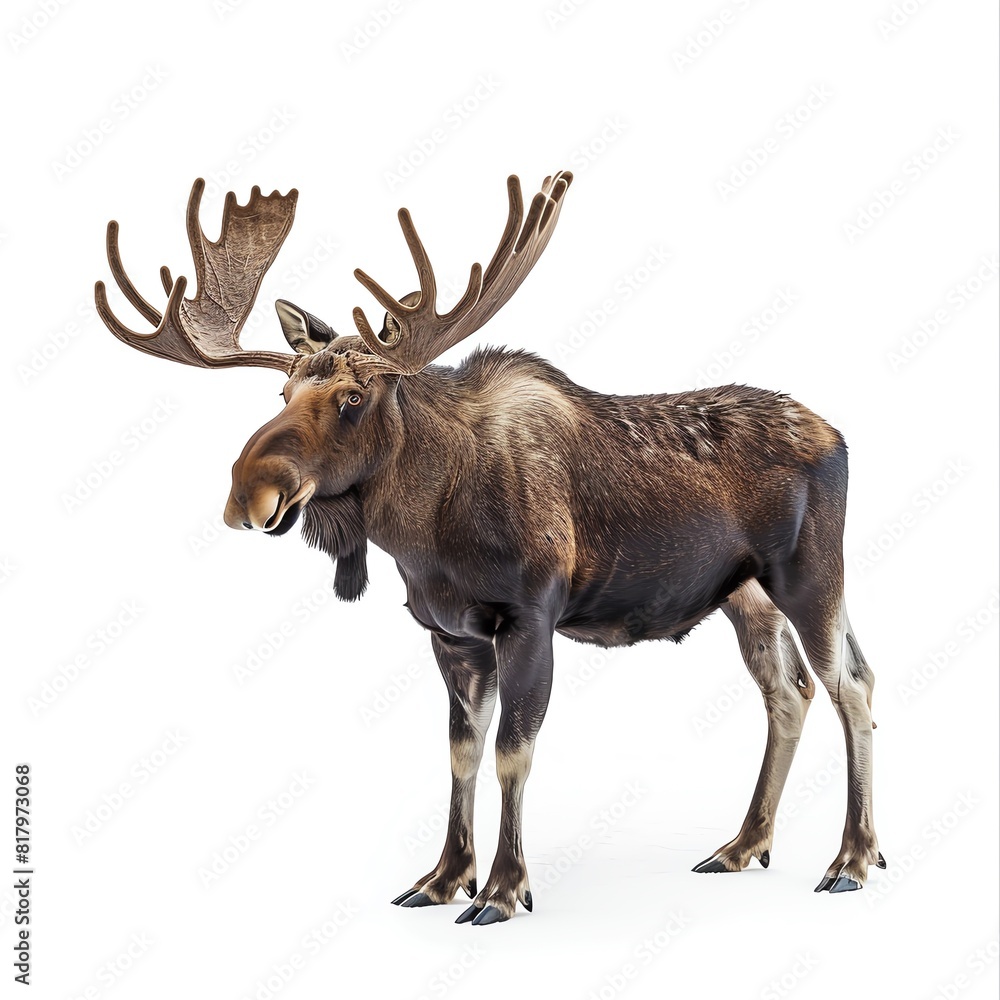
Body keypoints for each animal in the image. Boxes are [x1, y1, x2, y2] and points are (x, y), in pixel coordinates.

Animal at [94, 170, 883, 926]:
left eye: (353, 397)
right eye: (282, 394)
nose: (247, 493)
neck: (426, 533)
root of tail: (840, 435)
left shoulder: (529, 621)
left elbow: (512, 754)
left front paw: (503, 890)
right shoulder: (452, 634)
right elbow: (461, 753)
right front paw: (444, 878)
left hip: (813, 574)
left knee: (852, 684)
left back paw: (853, 858)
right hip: (745, 594)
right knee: (788, 691)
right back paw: (745, 844)